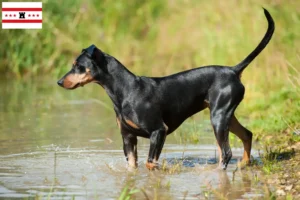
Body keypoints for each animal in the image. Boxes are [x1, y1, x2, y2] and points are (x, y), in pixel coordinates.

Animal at [58, 8, 274, 170]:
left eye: (78, 66)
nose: (59, 82)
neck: (125, 91)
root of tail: (233, 70)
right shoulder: (128, 137)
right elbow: (133, 167)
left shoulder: (159, 131)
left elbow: (150, 163)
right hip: (225, 115)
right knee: (246, 135)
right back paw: (244, 164)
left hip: (218, 117)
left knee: (226, 152)